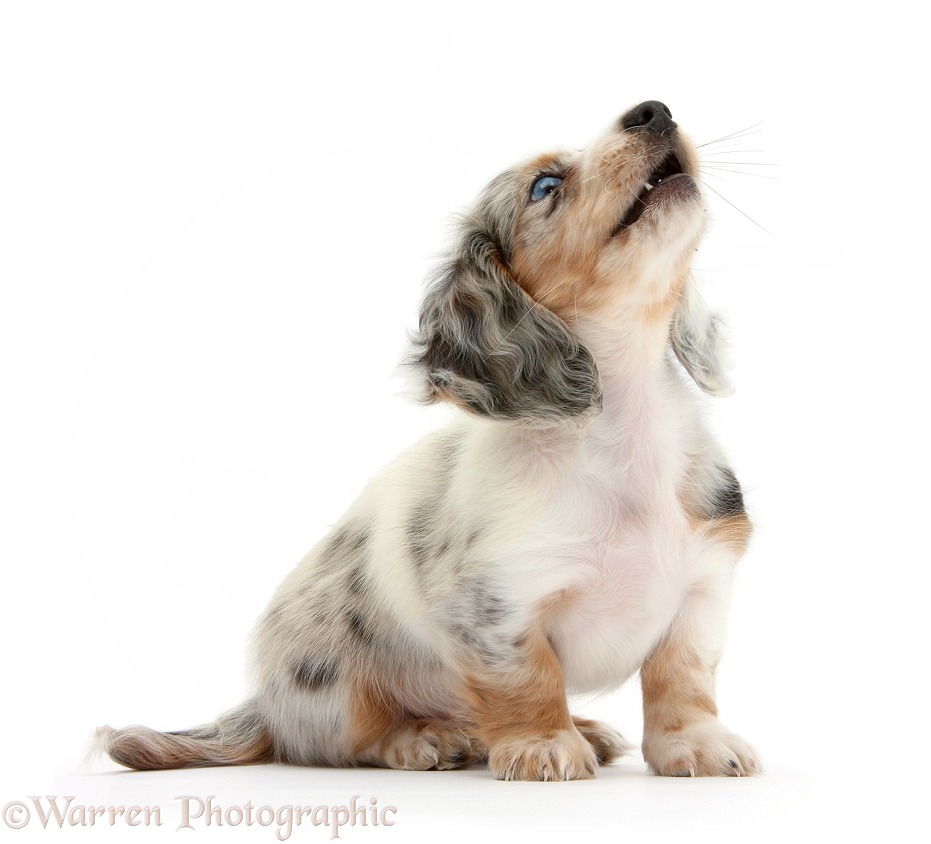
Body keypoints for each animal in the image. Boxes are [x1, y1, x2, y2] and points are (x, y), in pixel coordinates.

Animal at [100, 102, 756, 780]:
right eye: (545, 186)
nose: (654, 111)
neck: (620, 433)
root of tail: (263, 706)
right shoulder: (493, 610)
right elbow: (527, 682)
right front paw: (544, 743)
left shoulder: (702, 590)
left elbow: (682, 678)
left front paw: (695, 743)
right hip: (339, 691)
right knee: (349, 741)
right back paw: (425, 738)